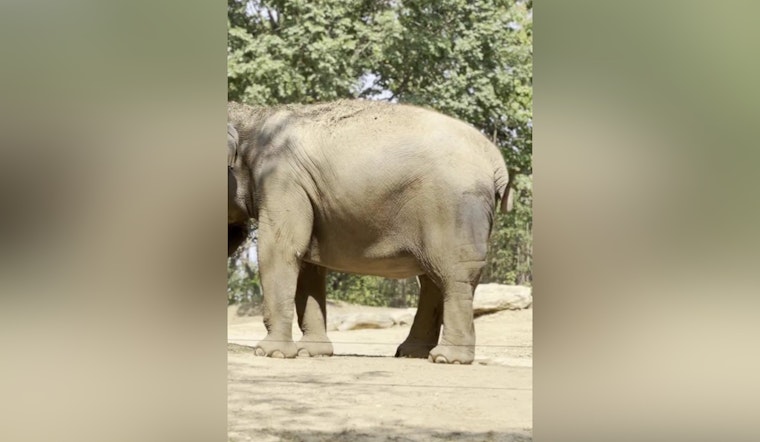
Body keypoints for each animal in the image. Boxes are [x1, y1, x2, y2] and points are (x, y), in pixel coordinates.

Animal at [227, 100, 512, 364]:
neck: (254, 117)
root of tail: (495, 159)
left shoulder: (281, 179)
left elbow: (281, 249)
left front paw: (271, 353)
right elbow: (308, 264)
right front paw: (312, 353)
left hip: (454, 208)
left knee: (454, 275)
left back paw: (446, 358)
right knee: (433, 279)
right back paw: (412, 354)